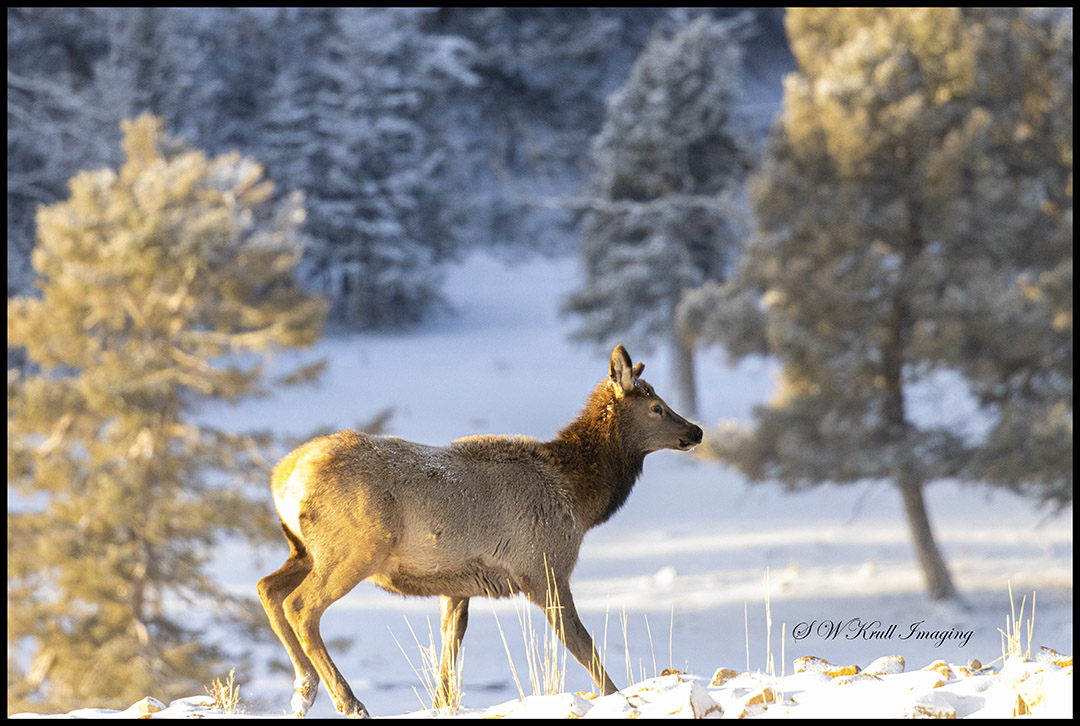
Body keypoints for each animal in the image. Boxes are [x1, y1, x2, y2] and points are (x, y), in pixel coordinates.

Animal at [257, 344, 703, 717]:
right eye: (656, 406)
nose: (696, 430)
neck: (579, 497)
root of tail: (283, 478)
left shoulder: (457, 584)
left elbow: (449, 652)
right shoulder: (544, 567)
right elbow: (581, 643)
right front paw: (620, 697)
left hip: (305, 549)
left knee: (268, 587)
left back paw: (304, 690)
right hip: (355, 549)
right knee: (301, 605)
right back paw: (348, 700)